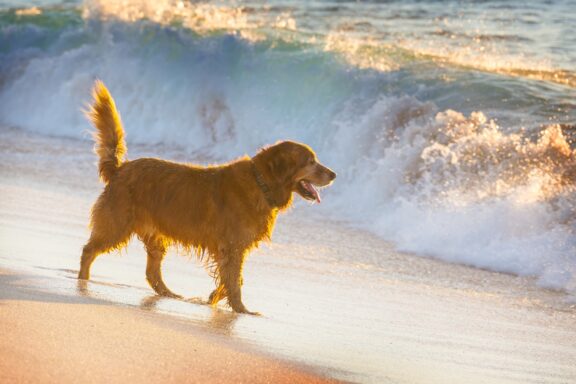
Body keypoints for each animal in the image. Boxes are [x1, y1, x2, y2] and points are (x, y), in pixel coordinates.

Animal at [77, 79, 338, 314]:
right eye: (310, 162)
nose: (334, 174)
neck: (261, 182)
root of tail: (121, 168)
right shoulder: (232, 247)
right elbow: (234, 281)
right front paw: (241, 309)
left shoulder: (232, 249)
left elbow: (231, 279)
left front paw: (215, 297)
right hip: (117, 224)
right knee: (89, 250)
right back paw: (83, 281)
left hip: (155, 235)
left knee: (152, 273)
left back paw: (170, 294)